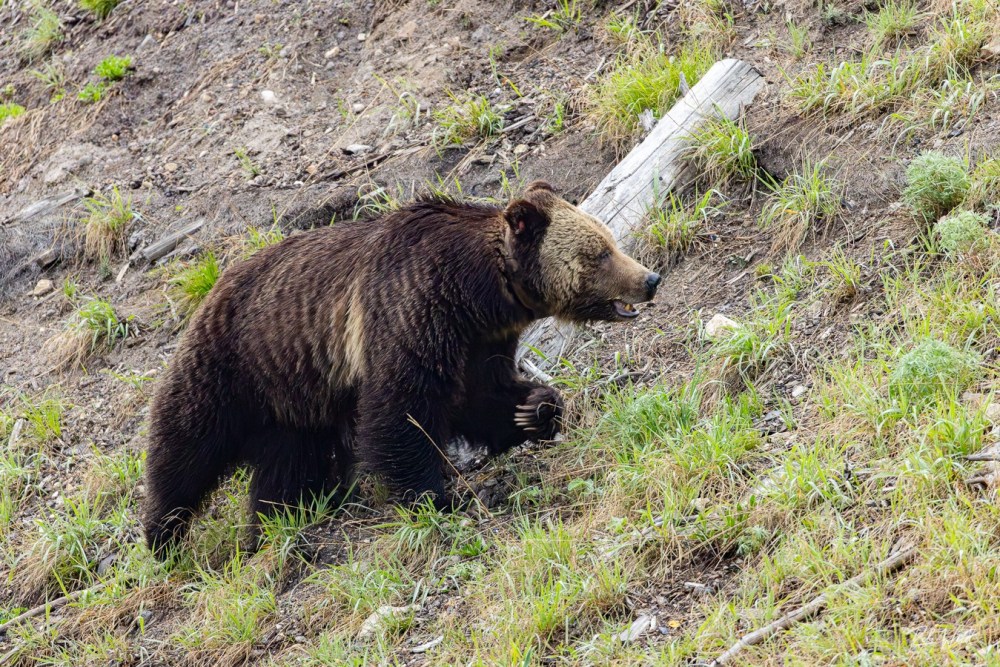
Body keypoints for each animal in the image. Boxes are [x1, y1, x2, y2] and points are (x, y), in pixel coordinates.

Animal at [141, 180, 656, 552]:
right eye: (599, 253)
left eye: (609, 239)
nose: (649, 278)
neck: (477, 294)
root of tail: (207, 293)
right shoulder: (410, 308)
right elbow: (401, 410)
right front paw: (436, 496)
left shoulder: (477, 343)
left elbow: (482, 396)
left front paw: (536, 409)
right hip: (232, 369)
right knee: (185, 449)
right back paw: (163, 535)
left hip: (293, 406)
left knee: (287, 469)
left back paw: (279, 522)